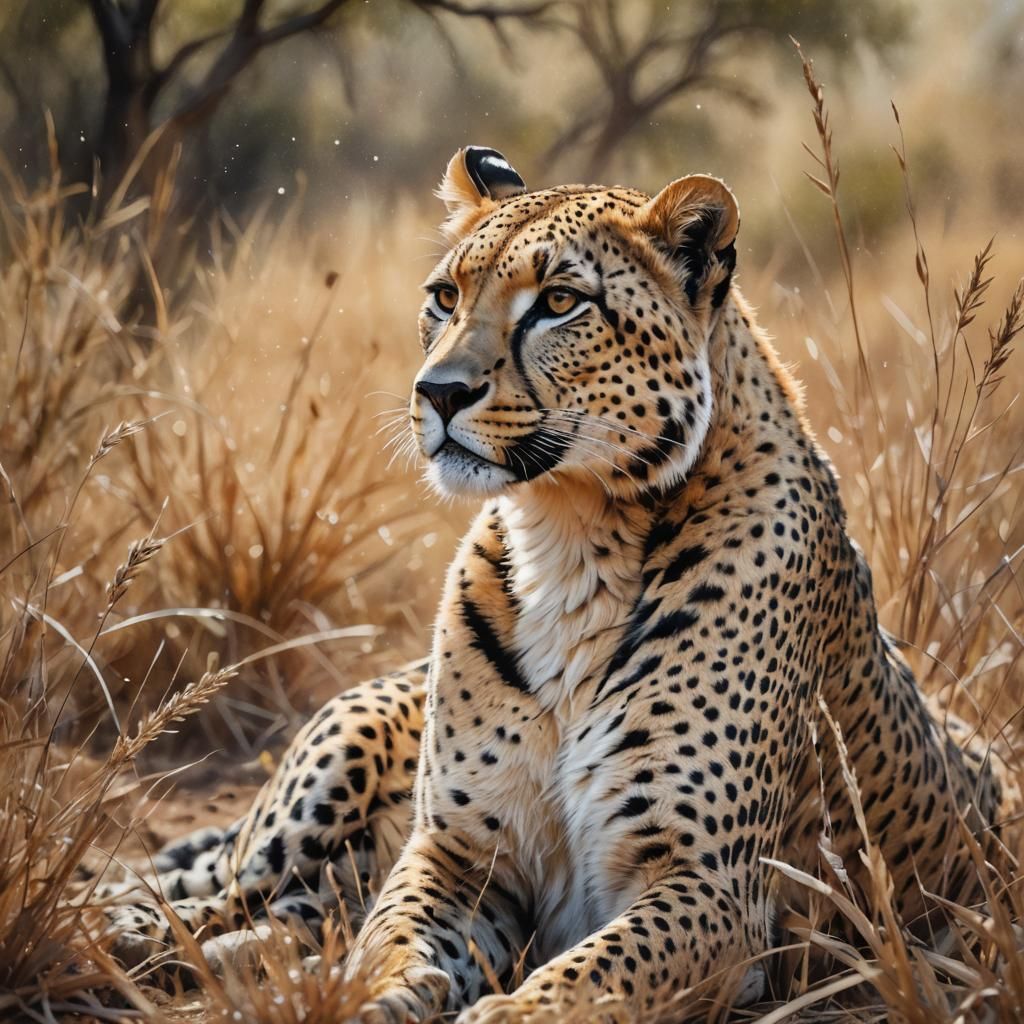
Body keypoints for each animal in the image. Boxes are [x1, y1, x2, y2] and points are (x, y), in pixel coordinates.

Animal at [99, 147, 1004, 1022]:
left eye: (560, 302)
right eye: (445, 297)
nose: (439, 392)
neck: (569, 539)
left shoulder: (712, 890)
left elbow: (590, 979)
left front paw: (501, 1013)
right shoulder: (456, 851)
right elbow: (394, 942)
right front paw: (372, 997)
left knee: (293, 918)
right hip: (335, 758)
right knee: (232, 894)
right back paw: (121, 932)